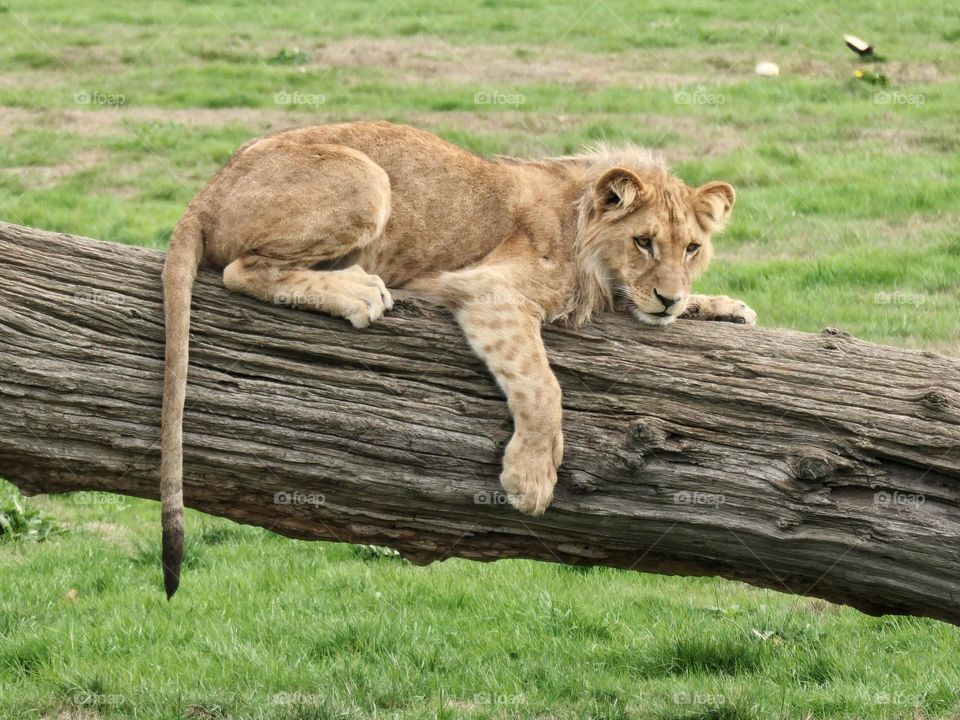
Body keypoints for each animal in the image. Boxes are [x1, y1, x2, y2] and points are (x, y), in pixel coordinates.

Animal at [160, 121, 756, 597]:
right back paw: (357, 291)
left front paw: (726, 308)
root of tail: (207, 190)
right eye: (644, 242)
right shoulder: (489, 290)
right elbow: (542, 385)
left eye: (692, 248)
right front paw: (531, 477)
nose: (668, 298)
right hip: (366, 177)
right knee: (240, 269)